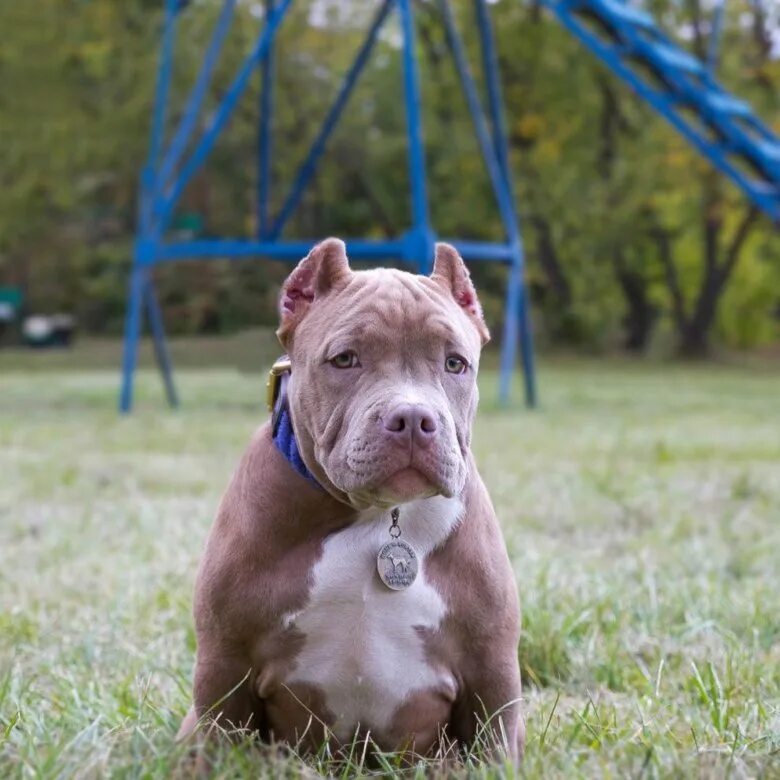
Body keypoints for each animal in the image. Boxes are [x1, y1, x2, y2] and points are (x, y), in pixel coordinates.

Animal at [180, 238, 524, 760]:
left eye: (455, 363)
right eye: (344, 359)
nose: (413, 418)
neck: (378, 517)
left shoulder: (491, 671)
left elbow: (494, 750)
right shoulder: (225, 664)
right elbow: (220, 747)